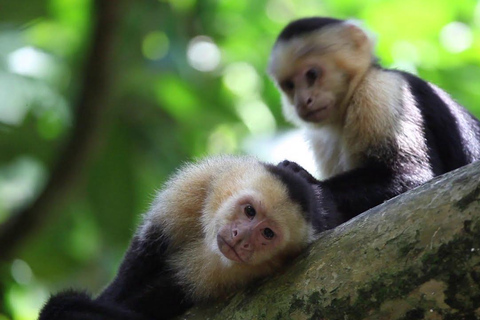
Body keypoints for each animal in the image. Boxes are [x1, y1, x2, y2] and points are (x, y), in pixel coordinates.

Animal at [39, 156, 336, 320]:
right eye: (250, 211)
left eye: (267, 233)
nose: (241, 238)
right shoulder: (191, 191)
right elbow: (142, 257)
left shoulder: (223, 276)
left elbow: (164, 295)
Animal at [268, 16, 480, 222]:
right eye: (289, 85)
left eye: (312, 74)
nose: (303, 102)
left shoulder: (379, 91)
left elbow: (413, 177)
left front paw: (310, 184)